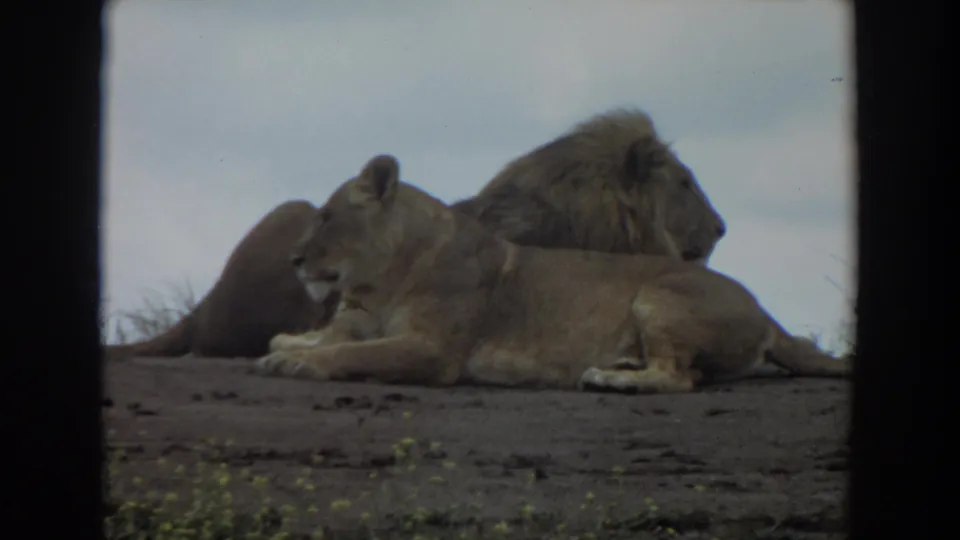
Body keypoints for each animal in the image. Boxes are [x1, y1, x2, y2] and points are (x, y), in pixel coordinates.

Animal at [256, 154, 850, 393]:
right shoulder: (360, 318)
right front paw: (289, 343)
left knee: (680, 377)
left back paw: (612, 379)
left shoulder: (431, 349)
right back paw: (621, 364)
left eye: (326, 217)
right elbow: (329, 337)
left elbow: (355, 353)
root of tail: (766, 312)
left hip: (660, 294)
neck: (381, 280)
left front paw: (296, 361)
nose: (293, 260)